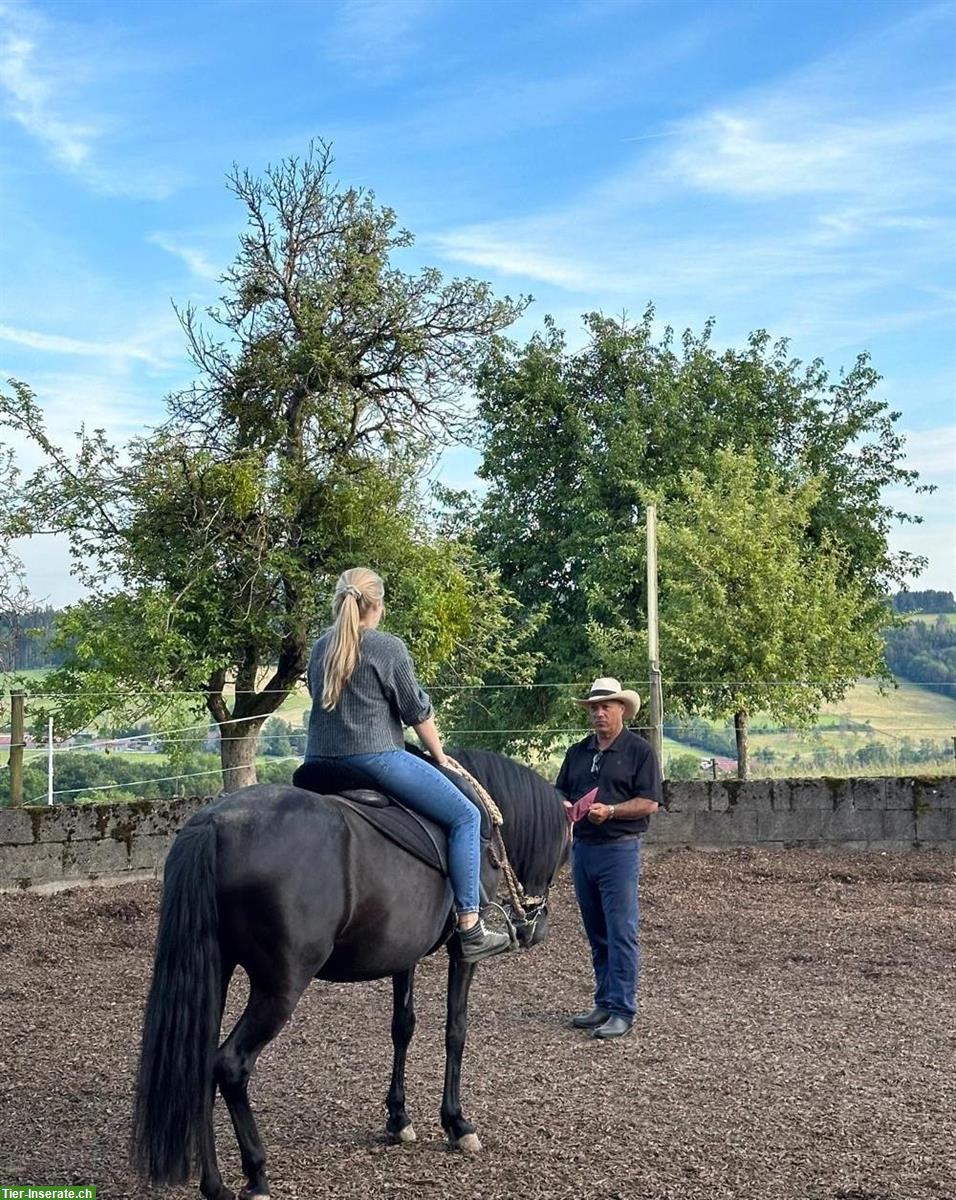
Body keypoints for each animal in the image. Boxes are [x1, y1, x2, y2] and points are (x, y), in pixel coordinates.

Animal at [131, 744, 570, 1195]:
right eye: (564, 850)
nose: (537, 928)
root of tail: (215, 824)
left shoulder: (403, 952)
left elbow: (403, 1026)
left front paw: (398, 1118)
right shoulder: (460, 953)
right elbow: (456, 1029)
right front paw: (456, 1122)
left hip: (215, 970)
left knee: (199, 1060)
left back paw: (215, 1185)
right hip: (279, 987)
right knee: (231, 1065)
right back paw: (256, 1173)